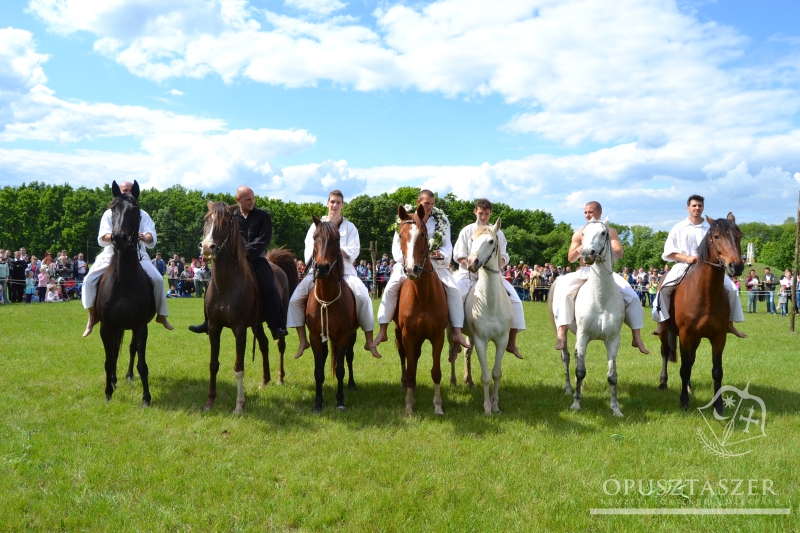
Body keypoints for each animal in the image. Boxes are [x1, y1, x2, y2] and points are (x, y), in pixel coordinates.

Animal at [95, 181, 156, 406]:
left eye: (135, 210)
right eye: (113, 208)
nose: (119, 238)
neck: (122, 281)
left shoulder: (140, 326)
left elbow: (141, 363)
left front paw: (146, 397)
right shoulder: (106, 327)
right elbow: (108, 359)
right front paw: (108, 392)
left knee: (130, 350)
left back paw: (128, 375)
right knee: (114, 351)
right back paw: (113, 380)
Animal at [202, 202, 298, 414]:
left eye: (225, 222)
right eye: (206, 220)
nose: (206, 247)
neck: (225, 284)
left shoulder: (239, 329)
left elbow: (239, 367)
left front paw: (239, 406)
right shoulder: (214, 327)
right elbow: (213, 364)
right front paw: (210, 402)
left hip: (279, 320)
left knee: (280, 345)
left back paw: (279, 378)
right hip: (257, 324)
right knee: (263, 344)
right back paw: (265, 380)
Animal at [304, 215, 358, 412]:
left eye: (336, 240)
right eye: (314, 237)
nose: (322, 267)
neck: (327, 297)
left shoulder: (342, 337)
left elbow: (341, 369)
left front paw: (340, 401)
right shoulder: (315, 337)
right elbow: (318, 371)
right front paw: (318, 402)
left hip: (352, 335)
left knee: (349, 357)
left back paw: (351, 384)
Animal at [394, 204, 450, 416]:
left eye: (423, 234)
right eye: (400, 235)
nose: (412, 270)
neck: (423, 296)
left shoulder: (437, 336)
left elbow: (436, 371)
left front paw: (438, 405)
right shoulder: (407, 335)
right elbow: (410, 370)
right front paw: (409, 405)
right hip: (399, 332)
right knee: (404, 357)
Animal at [656, 214, 744, 414]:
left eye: (739, 236)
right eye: (717, 236)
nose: (736, 266)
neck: (706, 293)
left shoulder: (718, 337)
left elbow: (716, 371)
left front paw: (718, 405)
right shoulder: (685, 335)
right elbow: (683, 368)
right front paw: (684, 401)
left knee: (691, 359)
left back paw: (688, 386)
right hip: (666, 331)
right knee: (665, 352)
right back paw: (663, 383)